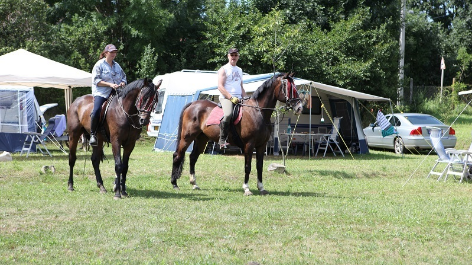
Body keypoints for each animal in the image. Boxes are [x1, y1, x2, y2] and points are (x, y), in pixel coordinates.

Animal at [171, 72, 304, 194]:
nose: (299, 108)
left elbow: (259, 166)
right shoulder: (249, 145)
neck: (258, 112)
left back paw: (194, 183)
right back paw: (174, 184)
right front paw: (246, 188)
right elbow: (248, 166)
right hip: (187, 137)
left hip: (201, 138)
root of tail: (193, 104)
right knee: (177, 155)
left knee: (193, 157)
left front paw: (261, 187)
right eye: (289, 88)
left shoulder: (261, 145)